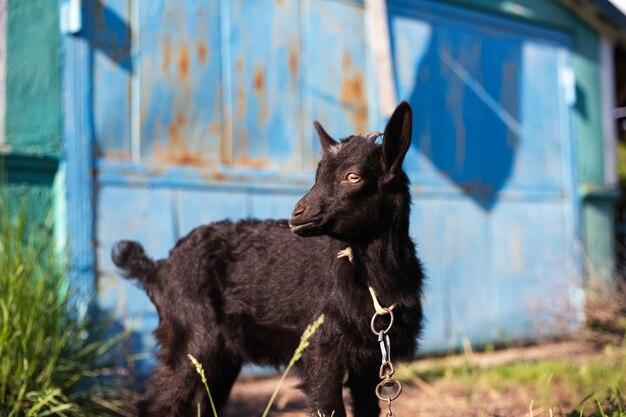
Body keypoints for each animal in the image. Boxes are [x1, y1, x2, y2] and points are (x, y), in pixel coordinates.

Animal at [112, 101, 424, 416]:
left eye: (353, 176)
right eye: (317, 176)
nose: (298, 214)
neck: (375, 284)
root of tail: (158, 268)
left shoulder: (370, 360)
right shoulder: (322, 349)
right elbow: (328, 406)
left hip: (220, 355)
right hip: (191, 336)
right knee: (158, 402)